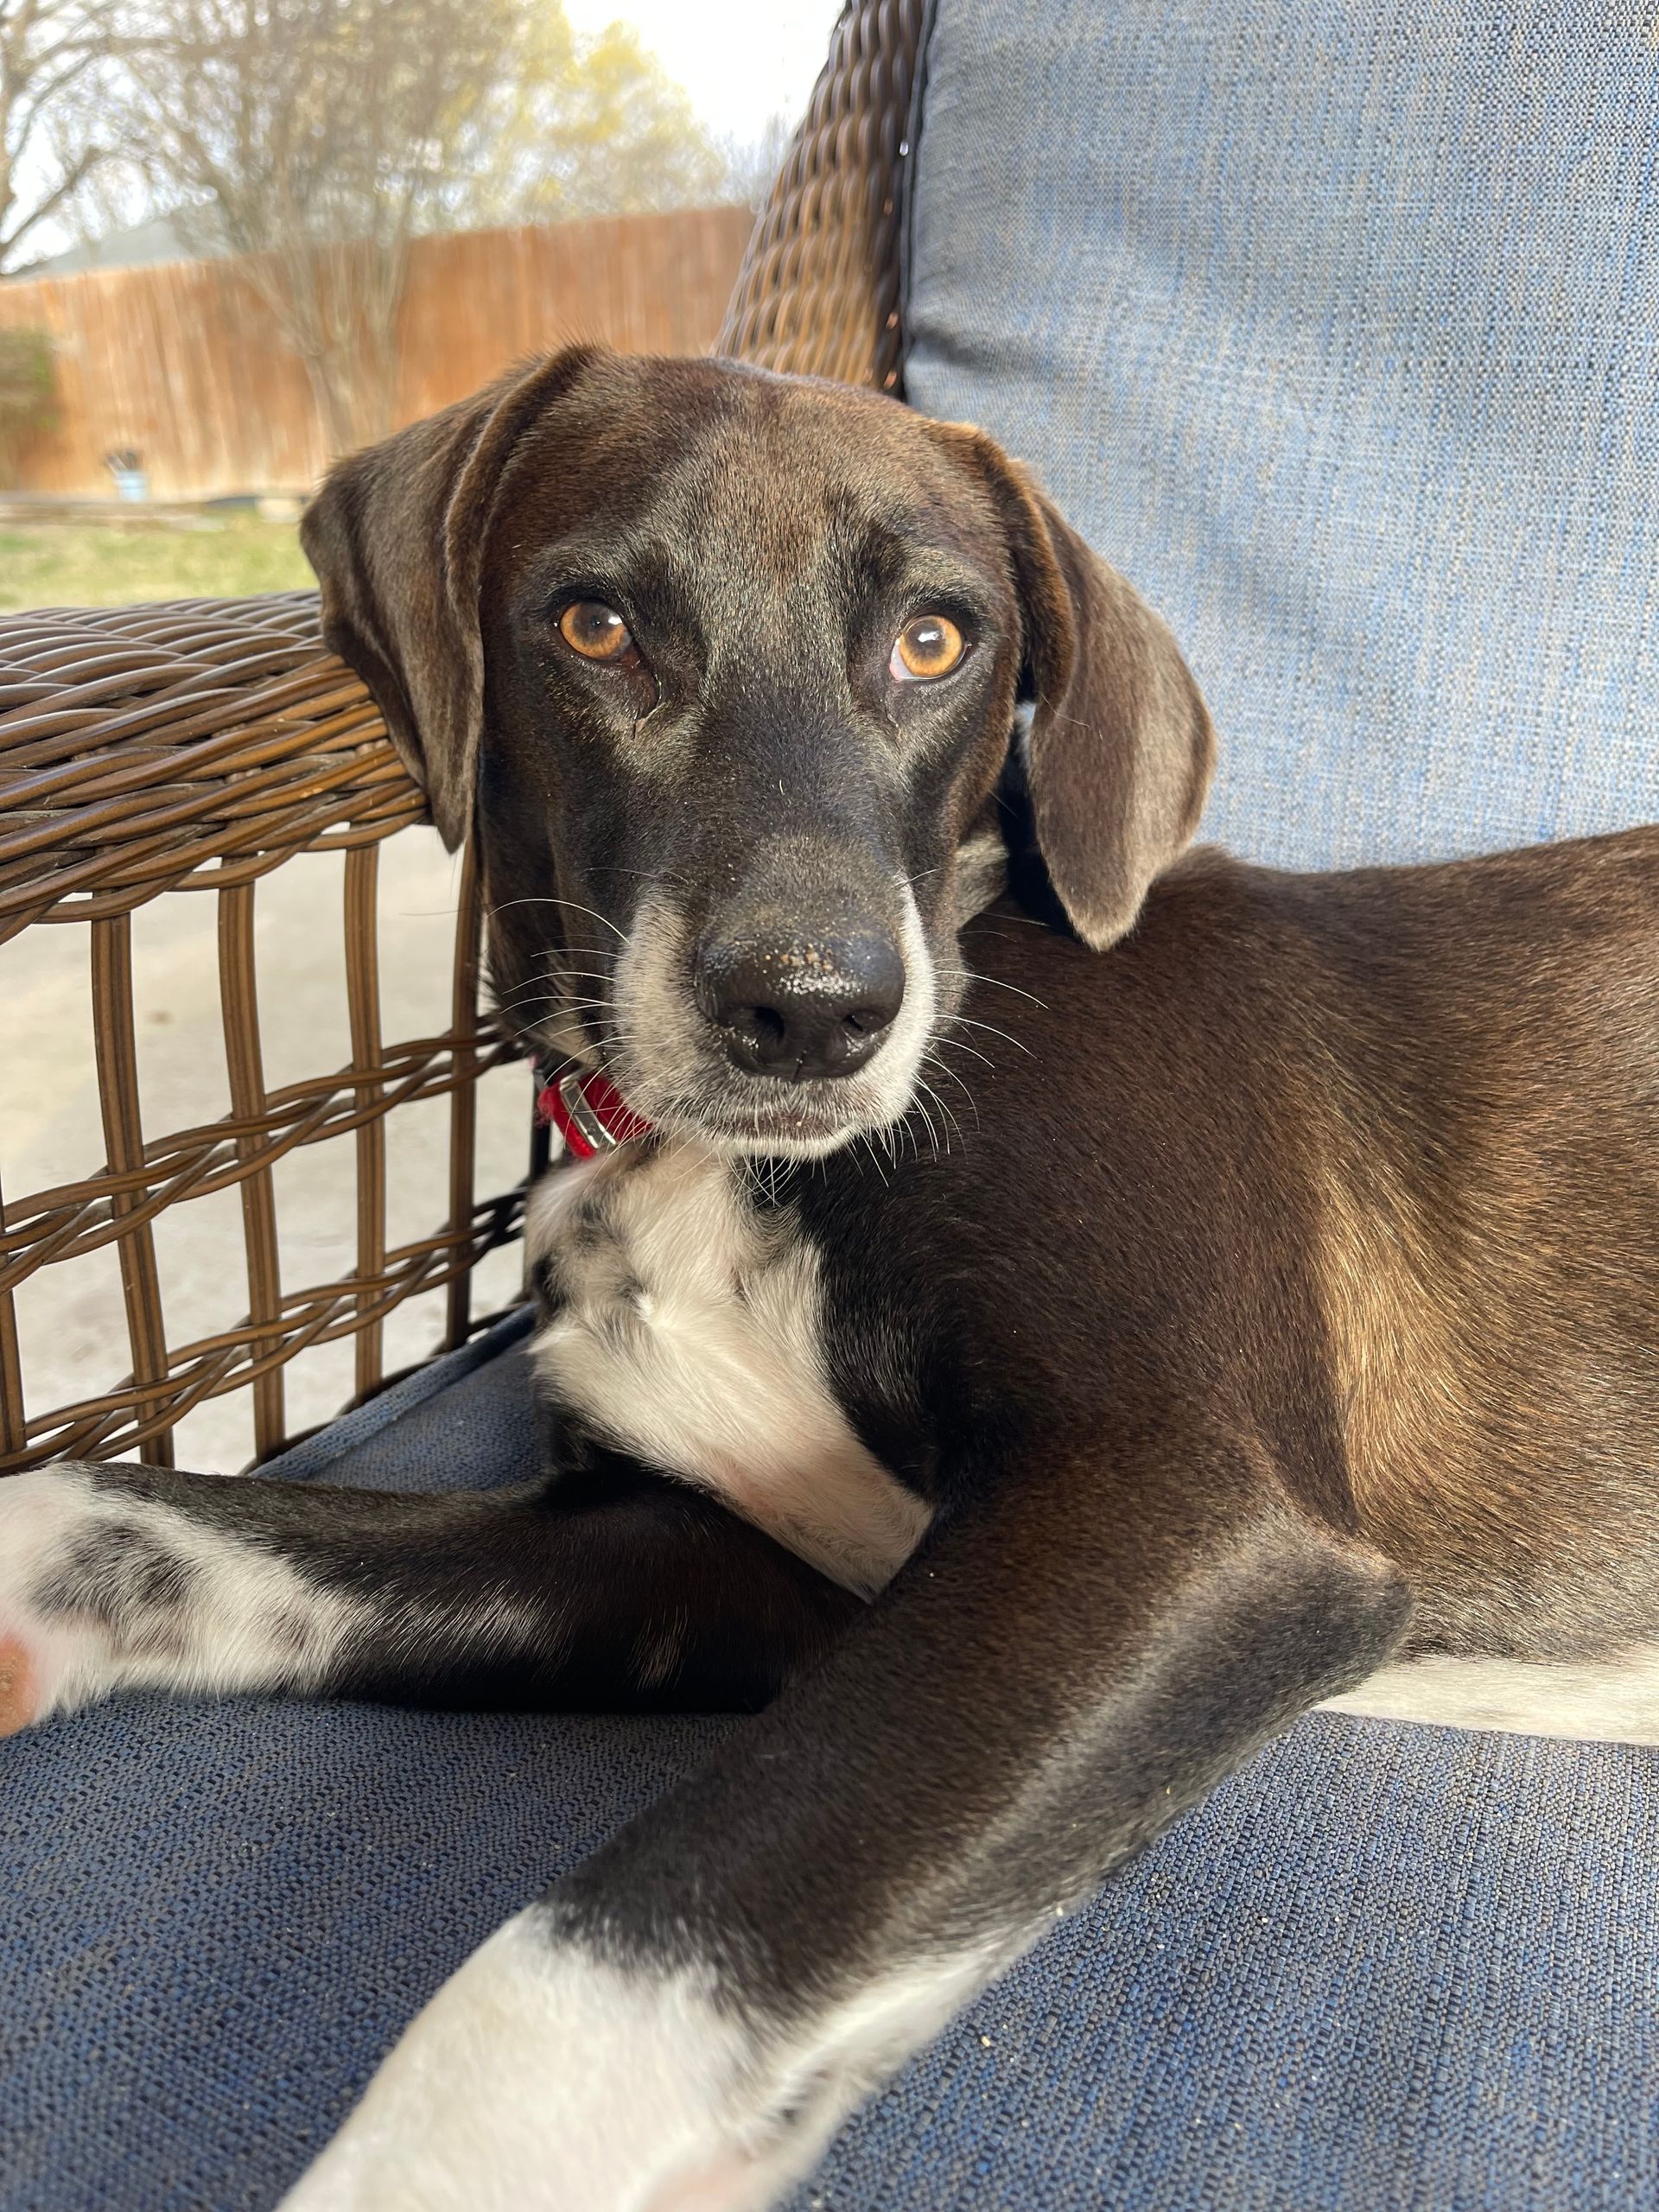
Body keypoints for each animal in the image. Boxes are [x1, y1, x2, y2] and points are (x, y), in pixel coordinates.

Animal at [0, 346, 1654, 2211]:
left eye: (936, 641)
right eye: (593, 624)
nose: (807, 1012)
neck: (709, 1158)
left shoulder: (1194, 1507)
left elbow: (582, 1971)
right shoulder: (701, 1565)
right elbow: (132, 1512)